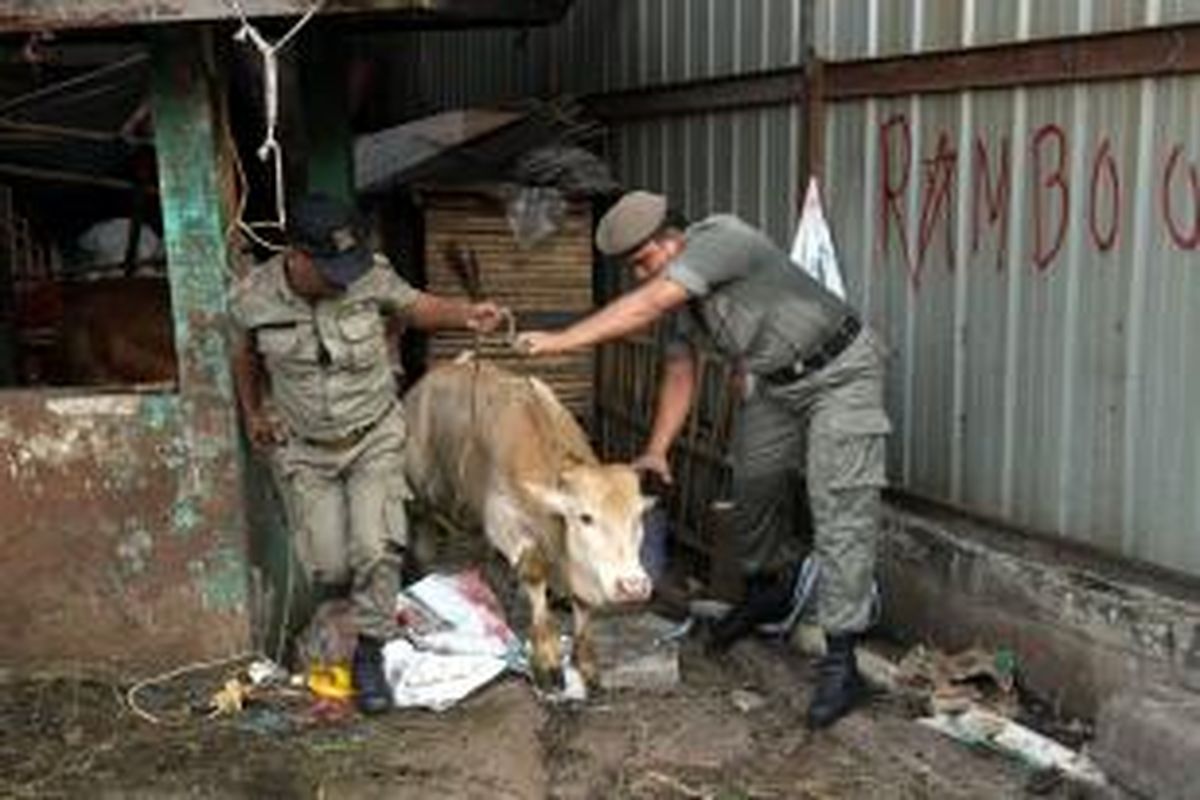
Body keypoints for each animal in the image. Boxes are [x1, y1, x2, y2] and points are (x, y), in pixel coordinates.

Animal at [403, 362, 652, 690]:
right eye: (585, 517)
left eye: (637, 517)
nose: (633, 586)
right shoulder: (505, 522)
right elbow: (534, 574)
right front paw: (546, 658)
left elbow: (582, 602)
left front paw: (585, 660)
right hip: (420, 488)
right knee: (421, 524)